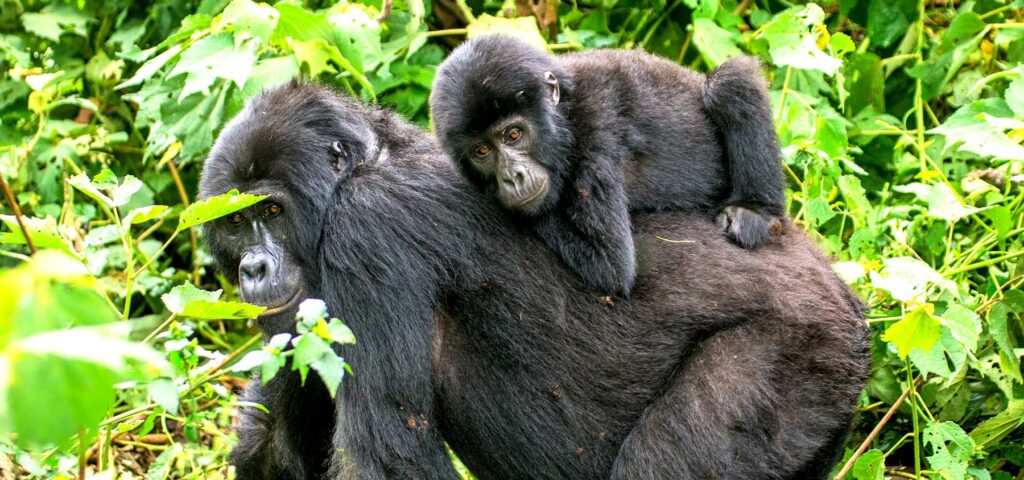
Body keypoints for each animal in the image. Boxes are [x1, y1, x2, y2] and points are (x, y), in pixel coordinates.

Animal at [195, 83, 868, 478]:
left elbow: (391, 454)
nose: (254, 268)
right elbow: (274, 444)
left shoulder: (367, 230)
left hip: (805, 343)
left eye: (271, 212)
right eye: (235, 223)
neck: (364, 164)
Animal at [432, 34, 782, 294]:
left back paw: (755, 211)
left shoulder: (594, 137)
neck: (565, 113)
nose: (512, 177)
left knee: (731, 83)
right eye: (482, 151)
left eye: (514, 134)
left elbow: (609, 265)